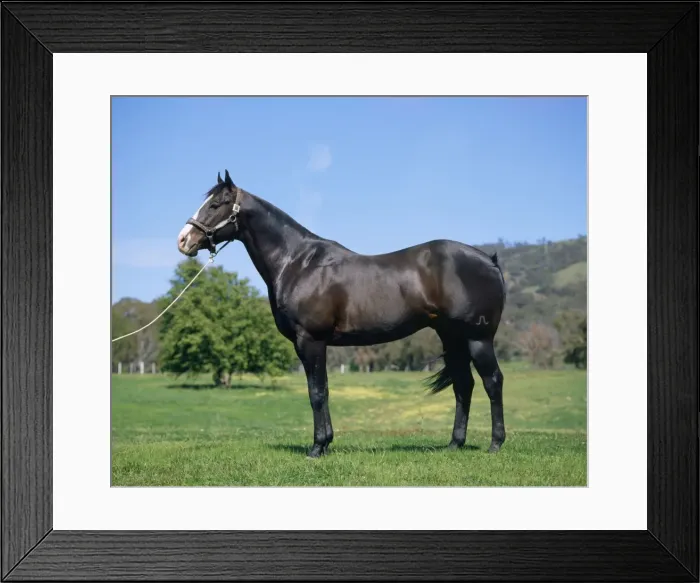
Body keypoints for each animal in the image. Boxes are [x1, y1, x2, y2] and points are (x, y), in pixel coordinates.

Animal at [177, 170, 507, 458]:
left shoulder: (311, 340)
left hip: (478, 339)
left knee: (492, 381)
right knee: (464, 385)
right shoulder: (309, 344)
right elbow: (320, 390)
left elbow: (317, 392)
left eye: (216, 205)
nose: (183, 240)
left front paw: (317, 447)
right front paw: (325, 444)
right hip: (452, 338)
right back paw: (454, 444)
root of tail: (489, 261)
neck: (298, 263)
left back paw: (495, 444)